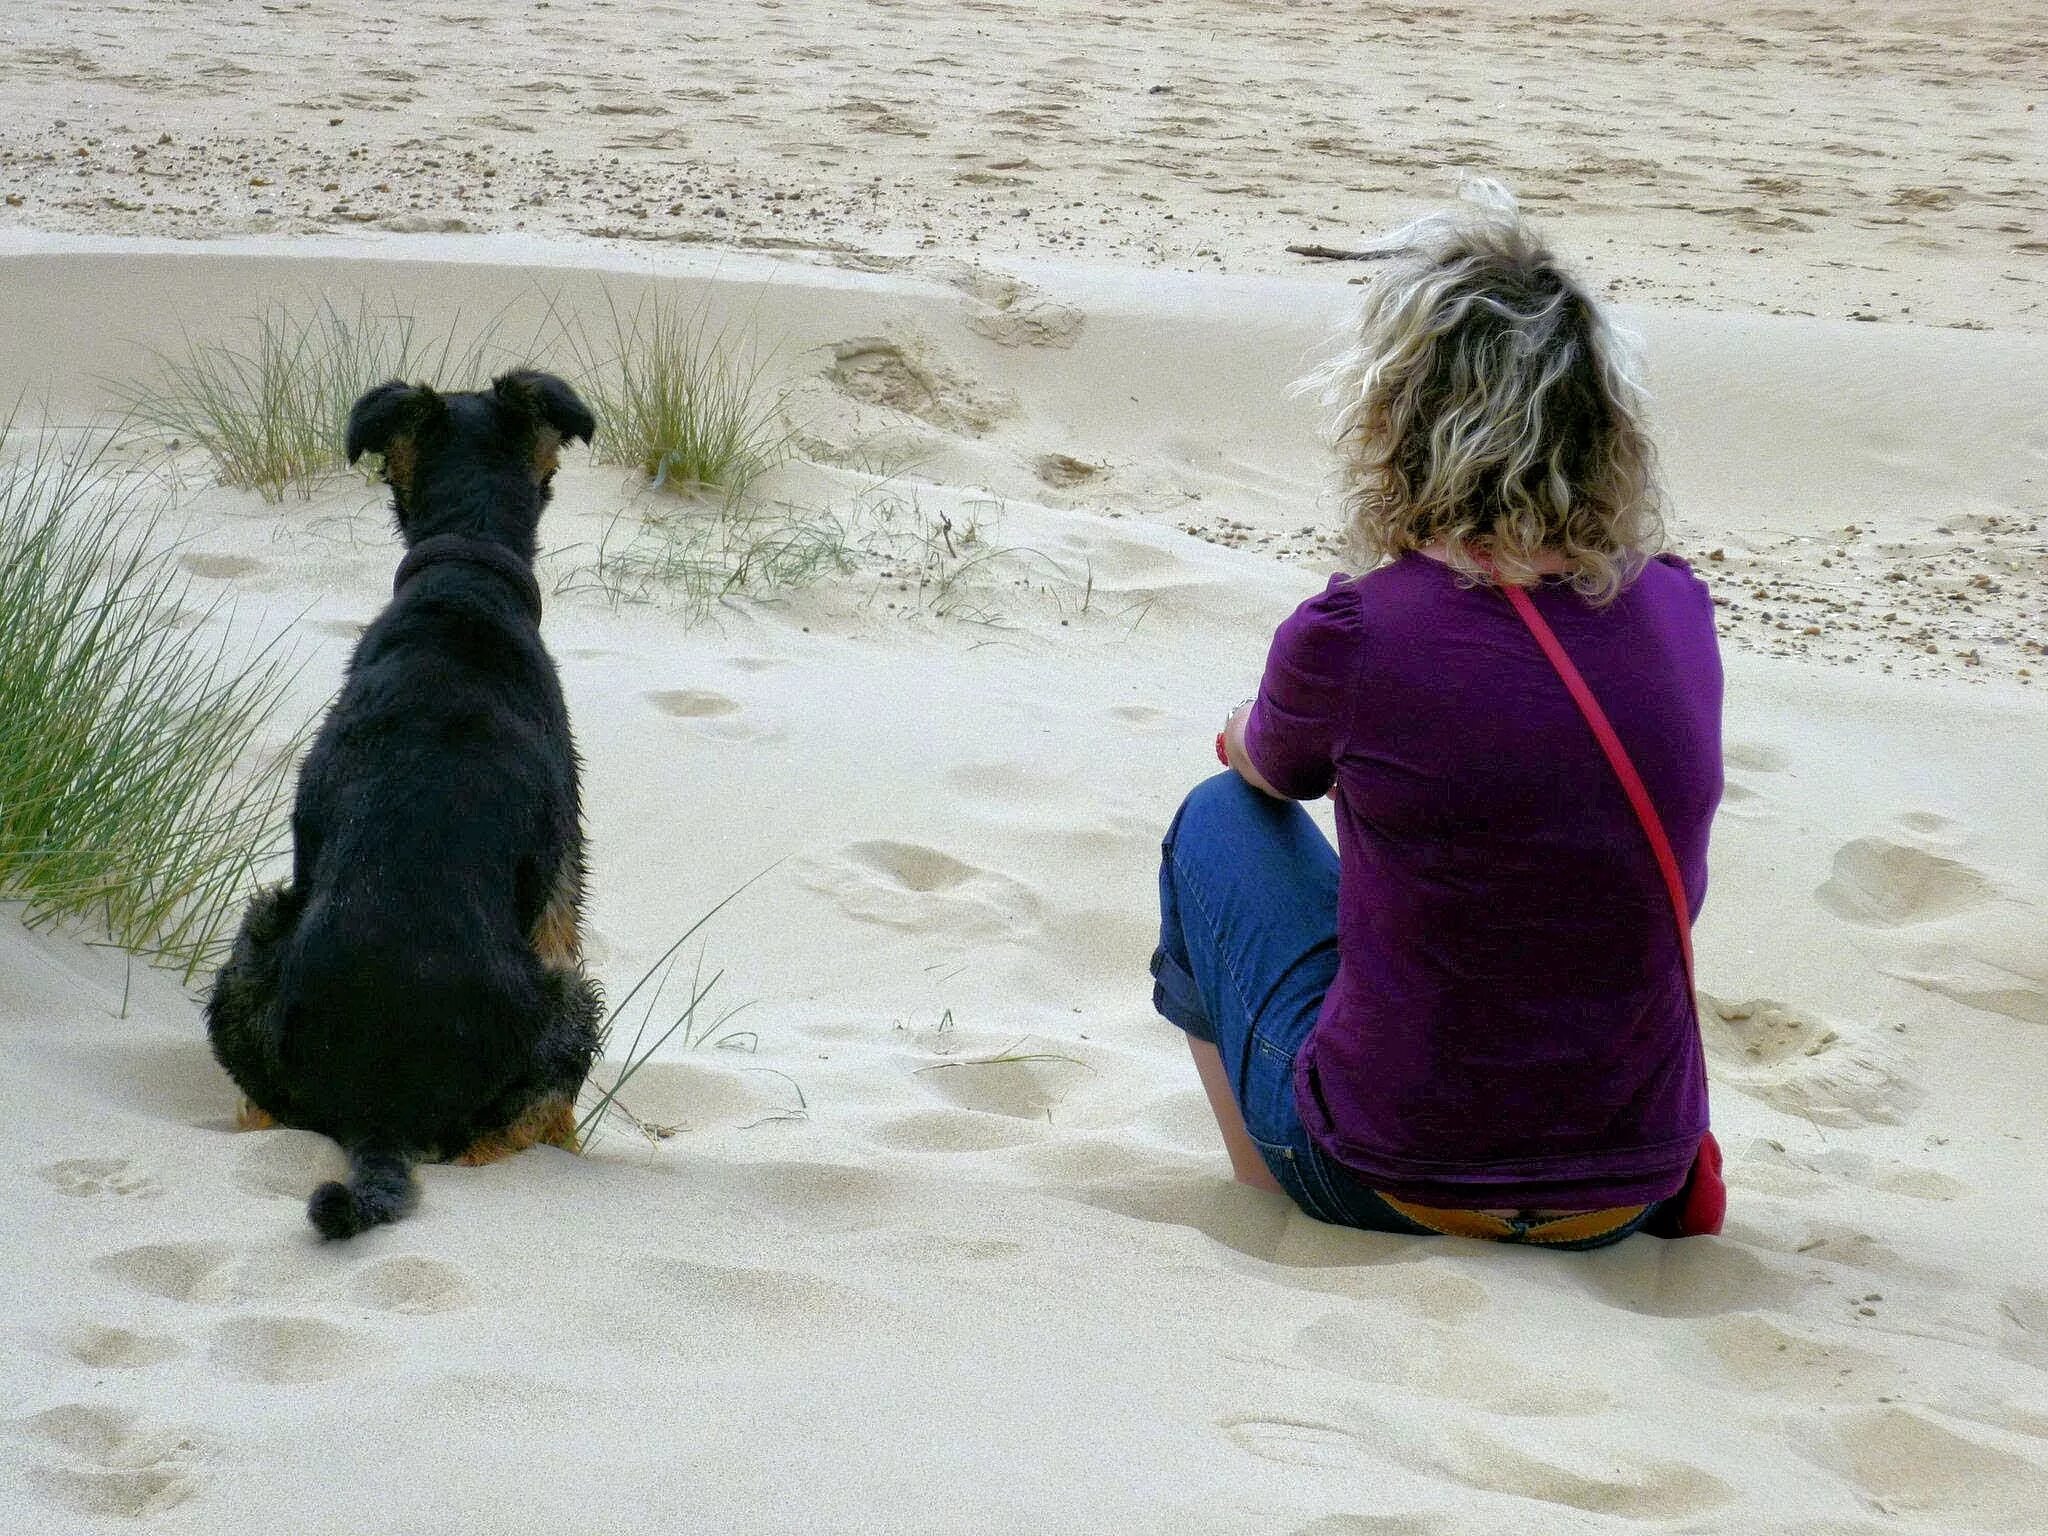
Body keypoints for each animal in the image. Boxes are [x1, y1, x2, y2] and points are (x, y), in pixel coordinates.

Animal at [209, 370, 606, 1236]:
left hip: (257, 938)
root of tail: (379, 1109)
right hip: (568, 1004)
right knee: (517, 1129)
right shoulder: (562, 883)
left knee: (258, 1105)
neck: (465, 573)